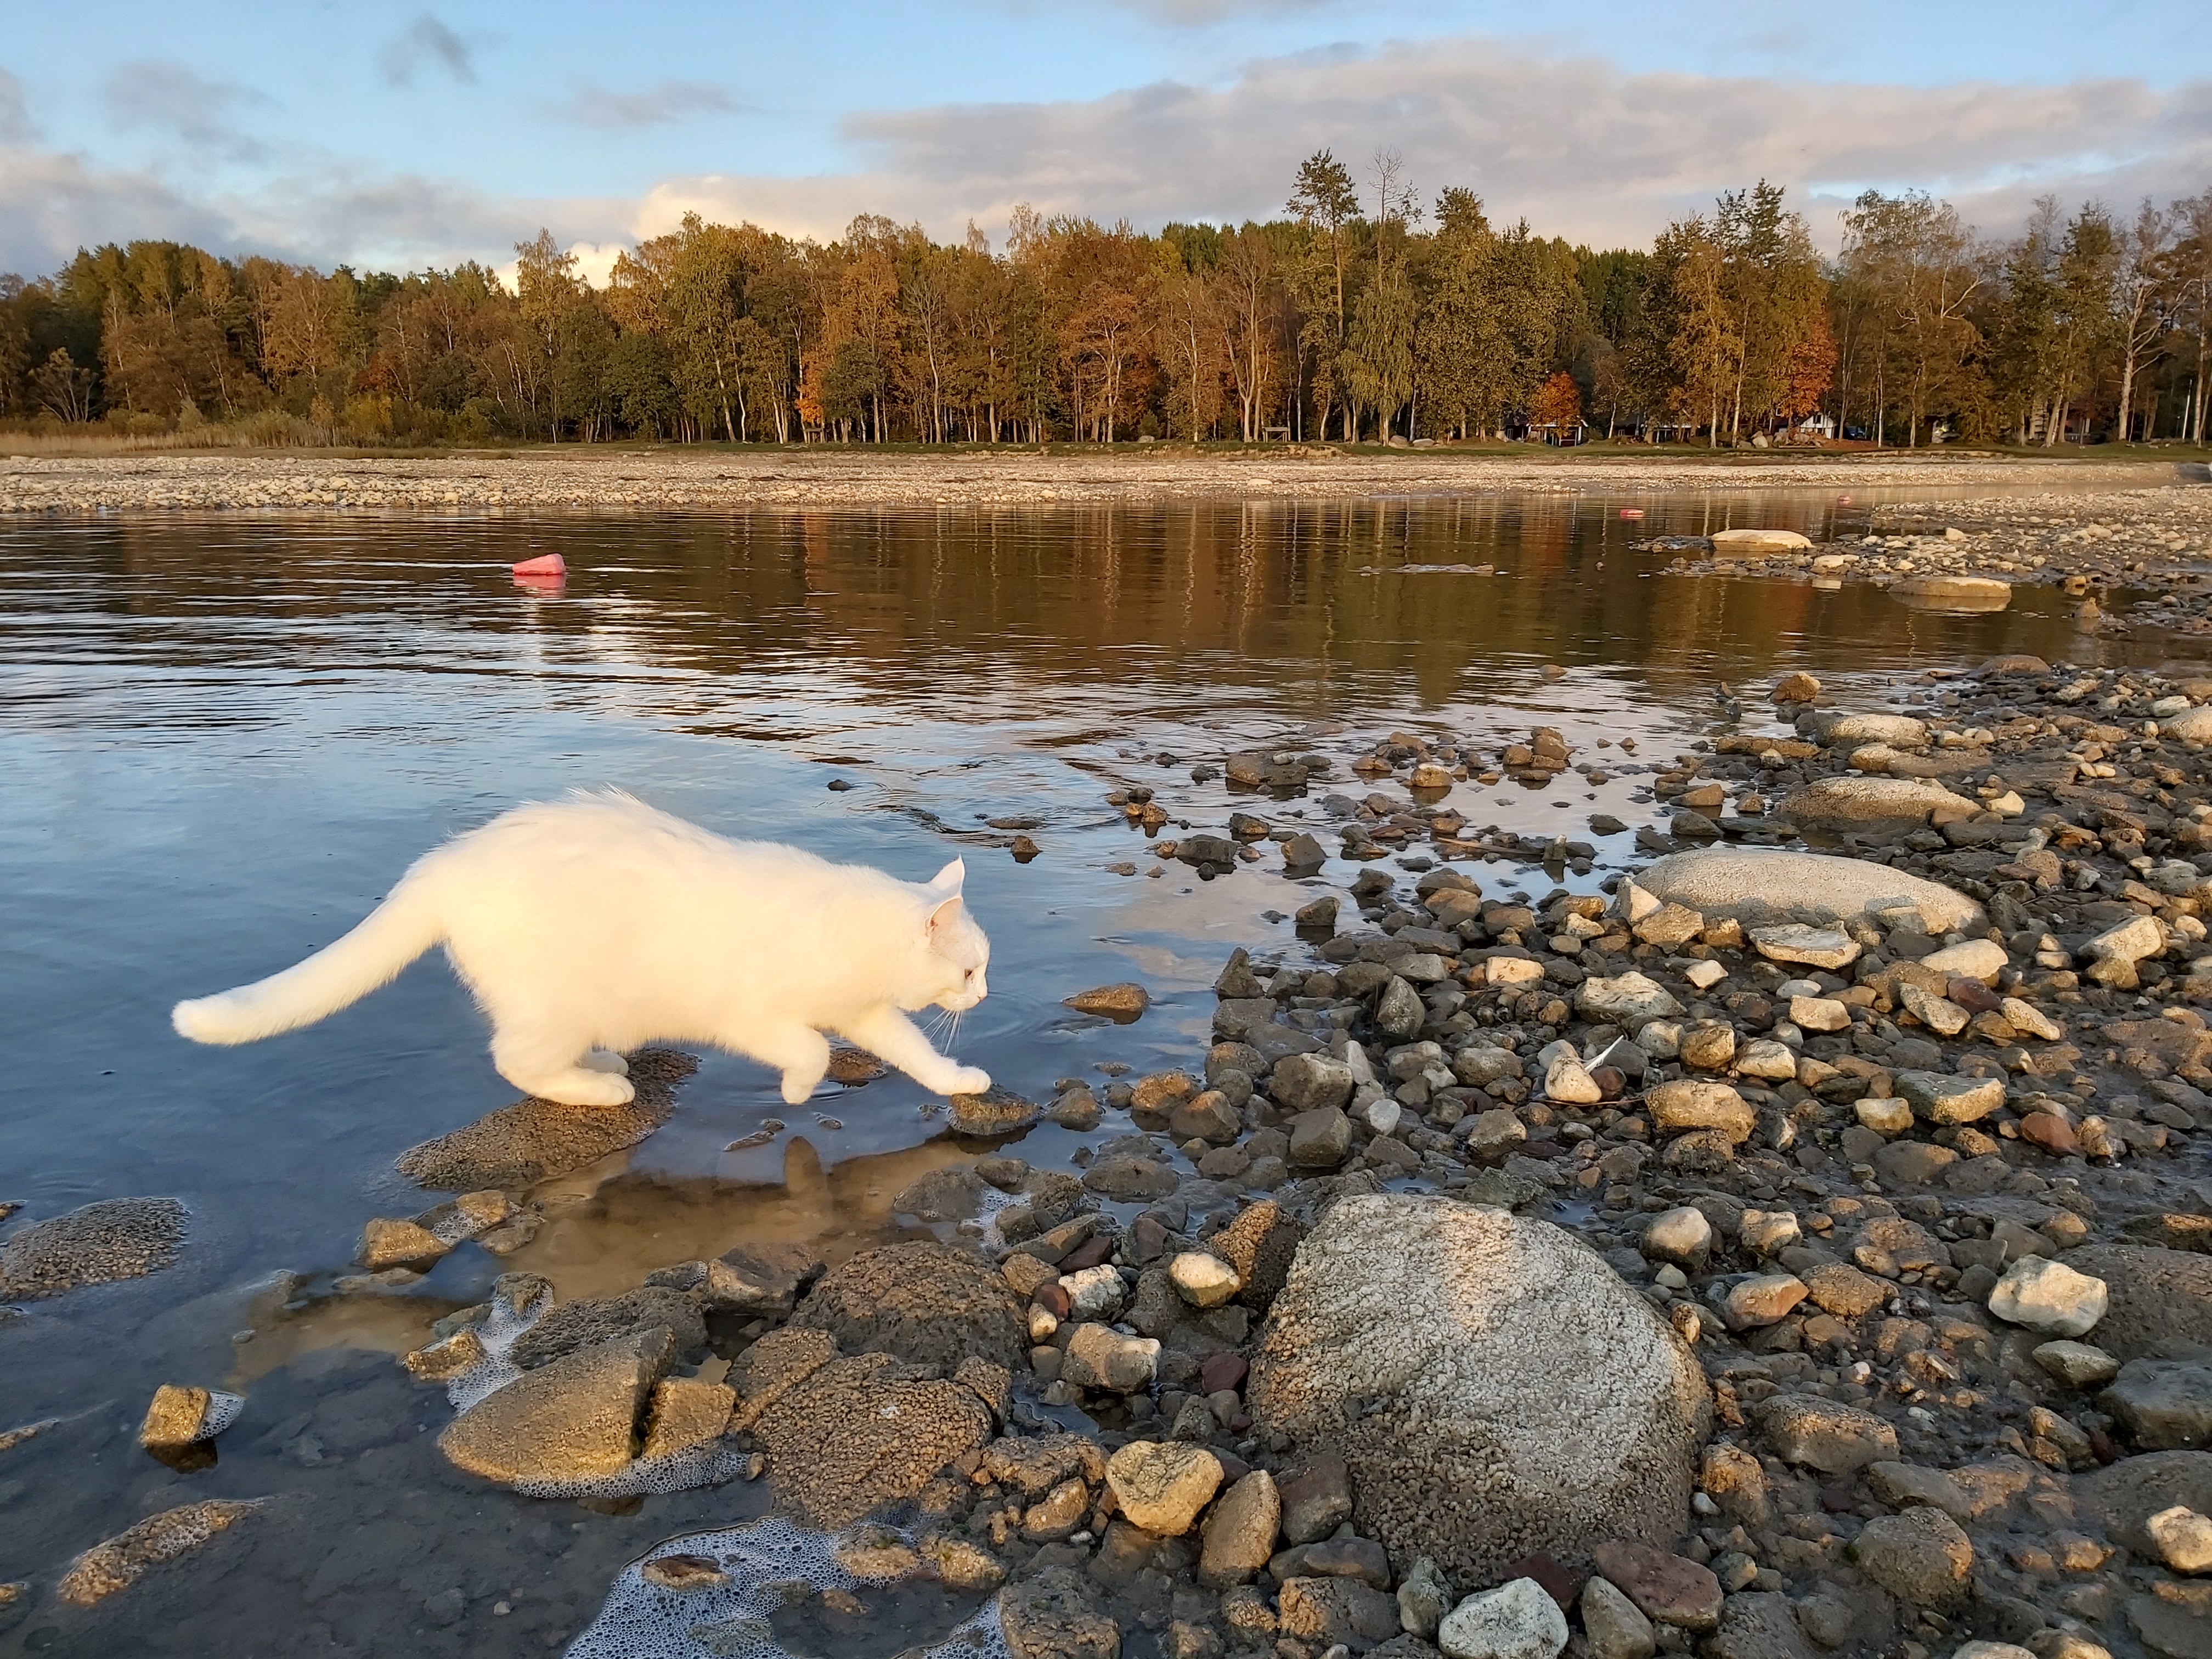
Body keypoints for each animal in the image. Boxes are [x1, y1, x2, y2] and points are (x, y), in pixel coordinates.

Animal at [172, 800, 995, 1110]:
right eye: (968, 970)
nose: (985, 996)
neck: (844, 932)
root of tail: (442, 863)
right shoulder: (750, 1018)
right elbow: (811, 1051)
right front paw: (797, 1093)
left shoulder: (867, 1014)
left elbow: (917, 1054)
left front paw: (960, 1081)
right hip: (552, 1005)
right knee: (514, 1060)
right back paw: (601, 1090)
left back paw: (601, 1065)